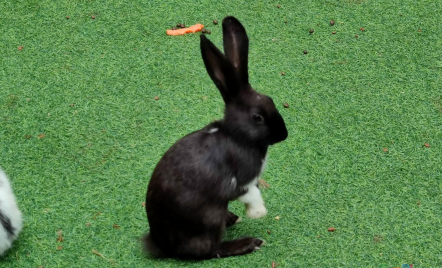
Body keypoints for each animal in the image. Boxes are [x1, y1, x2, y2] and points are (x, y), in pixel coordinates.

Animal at [143, 15, 288, 258]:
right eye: (257, 117)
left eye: (271, 100)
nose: (284, 134)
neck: (238, 137)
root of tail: (161, 245)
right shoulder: (239, 182)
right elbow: (249, 195)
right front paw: (258, 213)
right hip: (209, 219)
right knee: (211, 250)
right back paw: (247, 242)